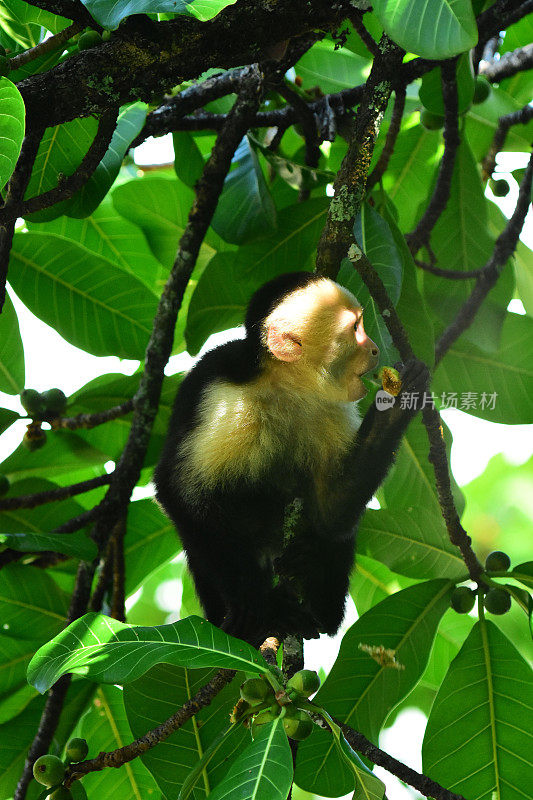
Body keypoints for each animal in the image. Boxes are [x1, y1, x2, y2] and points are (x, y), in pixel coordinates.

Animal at [154, 272, 428, 648]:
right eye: (356, 328)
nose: (374, 348)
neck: (289, 388)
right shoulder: (227, 403)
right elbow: (179, 491)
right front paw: (259, 605)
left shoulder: (331, 409)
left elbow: (332, 511)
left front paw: (398, 405)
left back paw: (320, 599)